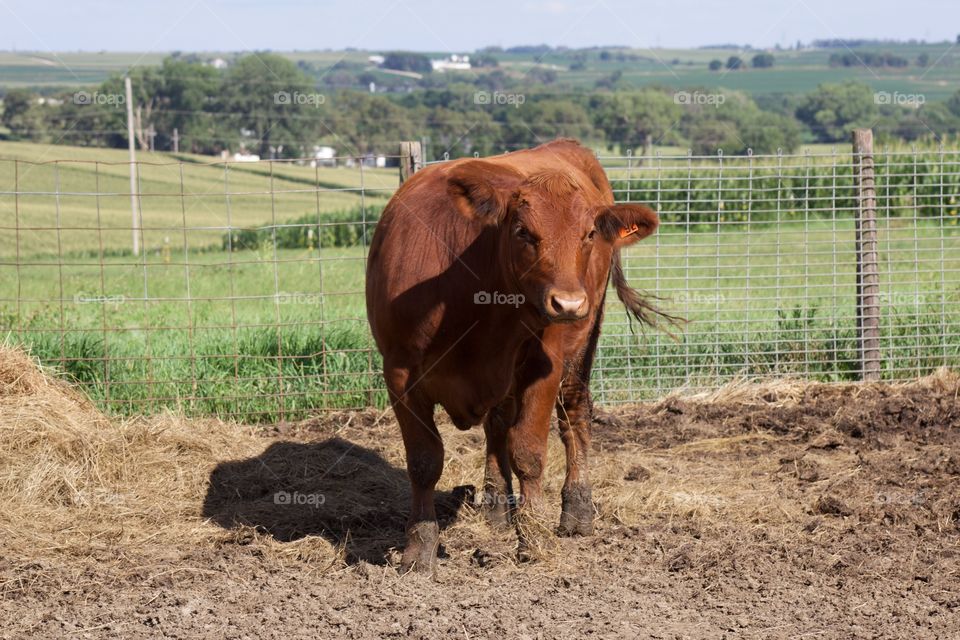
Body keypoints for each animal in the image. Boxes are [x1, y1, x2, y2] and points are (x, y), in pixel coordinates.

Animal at [366, 138, 668, 572]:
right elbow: (424, 461)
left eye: (589, 233)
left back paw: (576, 511)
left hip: (584, 341)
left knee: (574, 413)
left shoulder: (544, 365)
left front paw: (533, 539)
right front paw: (418, 549)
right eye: (523, 231)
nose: (568, 302)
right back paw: (496, 507)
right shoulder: (400, 373)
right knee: (497, 424)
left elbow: (528, 451)